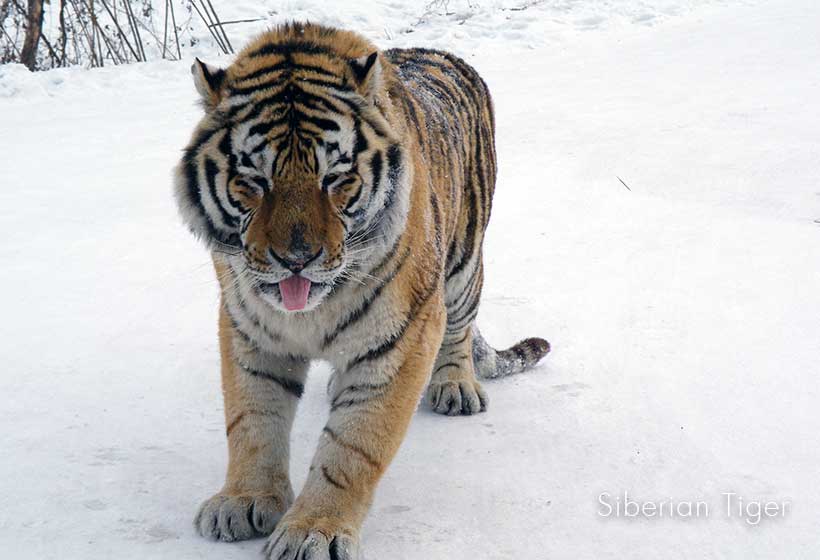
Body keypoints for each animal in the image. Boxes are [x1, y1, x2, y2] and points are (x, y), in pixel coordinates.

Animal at [174, 21, 548, 560]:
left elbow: (353, 444)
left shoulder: (402, 336)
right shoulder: (248, 328)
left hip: (463, 263)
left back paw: (455, 386)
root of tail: (443, 54)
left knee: (460, 327)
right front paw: (243, 500)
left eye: (335, 179)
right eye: (254, 181)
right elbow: (251, 419)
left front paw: (313, 530)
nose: (296, 259)